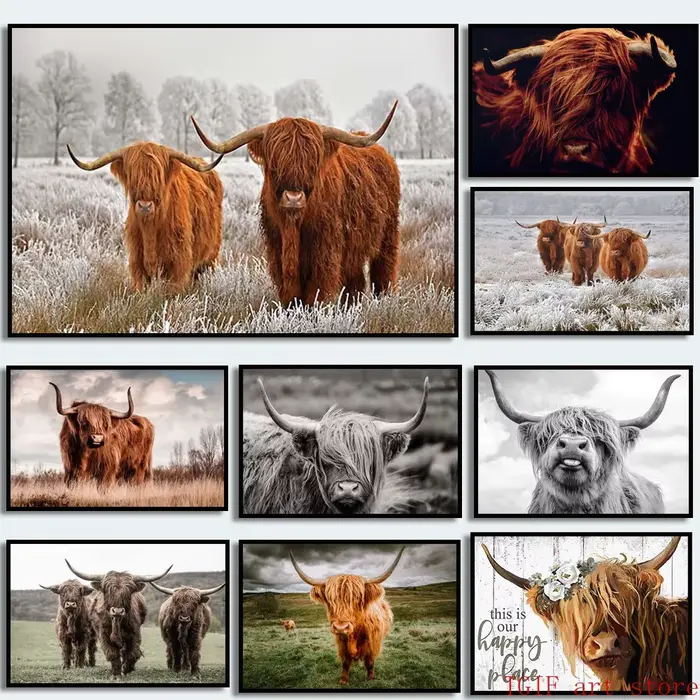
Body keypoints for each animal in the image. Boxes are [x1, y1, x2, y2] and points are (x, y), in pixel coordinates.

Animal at [66, 141, 224, 293]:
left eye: (158, 176)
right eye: (132, 175)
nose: (145, 206)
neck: (150, 229)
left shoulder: (178, 262)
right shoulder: (137, 261)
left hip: (211, 255)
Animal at [190, 104, 400, 306]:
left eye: (312, 163)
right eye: (274, 164)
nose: (293, 198)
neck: (293, 227)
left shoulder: (325, 254)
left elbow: (315, 294)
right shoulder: (277, 251)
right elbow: (291, 296)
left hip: (388, 237)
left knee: (383, 272)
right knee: (355, 282)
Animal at [289, 548, 404, 685]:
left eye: (358, 599)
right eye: (330, 599)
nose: (340, 627)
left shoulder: (373, 643)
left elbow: (370, 662)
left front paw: (371, 678)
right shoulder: (342, 644)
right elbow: (345, 662)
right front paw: (343, 680)